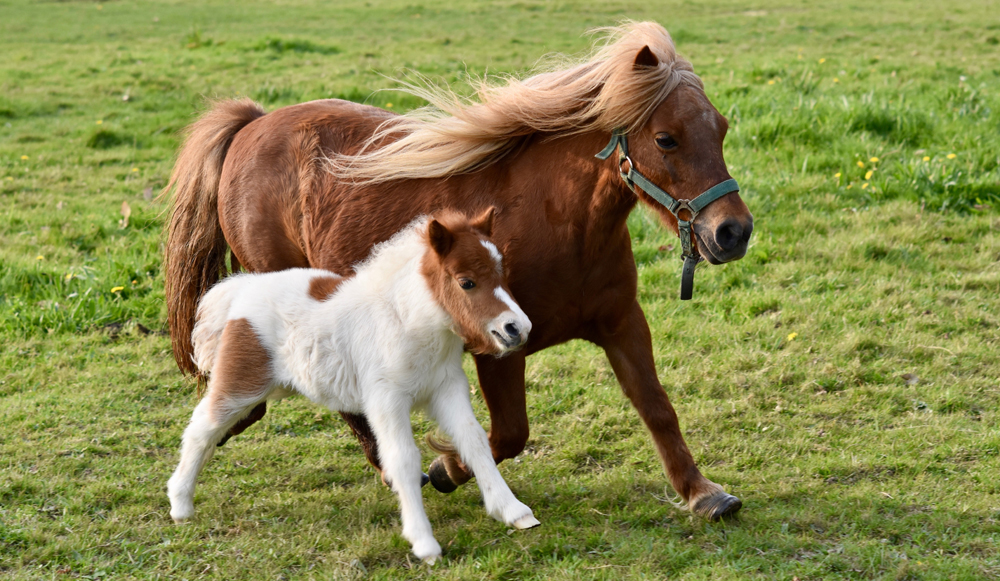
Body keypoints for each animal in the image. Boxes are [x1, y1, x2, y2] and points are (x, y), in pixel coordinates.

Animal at [166, 21, 752, 520]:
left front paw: (703, 493)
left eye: (721, 128)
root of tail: (252, 124)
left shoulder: (622, 323)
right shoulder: (498, 346)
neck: (561, 224)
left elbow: (657, 408)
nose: (734, 232)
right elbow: (508, 434)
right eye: (666, 138)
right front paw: (447, 467)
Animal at [166, 208, 540, 560]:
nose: (517, 328)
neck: (407, 323)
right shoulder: (386, 400)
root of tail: (243, 288)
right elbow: (403, 459)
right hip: (241, 384)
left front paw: (513, 511)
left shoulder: (446, 390)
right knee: (202, 429)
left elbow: (474, 441)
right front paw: (424, 544)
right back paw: (180, 504)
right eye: (466, 282)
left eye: (502, 274)